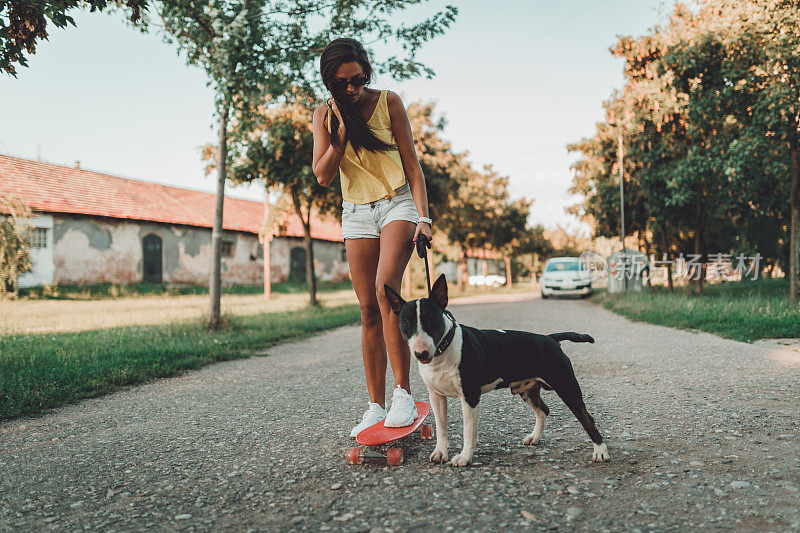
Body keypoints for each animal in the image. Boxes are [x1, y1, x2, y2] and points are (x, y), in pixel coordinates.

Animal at [384, 274, 608, 466]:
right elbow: (441, 427)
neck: (443, 350)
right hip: (527, 389)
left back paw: (600, 451)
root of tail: (550, 338)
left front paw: (464, 457)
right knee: (543, 410)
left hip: (566, 385)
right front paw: (440, 452)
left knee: (587, 418)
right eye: (406, 322)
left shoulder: (470, 396)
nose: (421, 354)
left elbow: (468, 430)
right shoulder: (436, 396)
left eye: (432, 319)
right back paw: (534, 438)